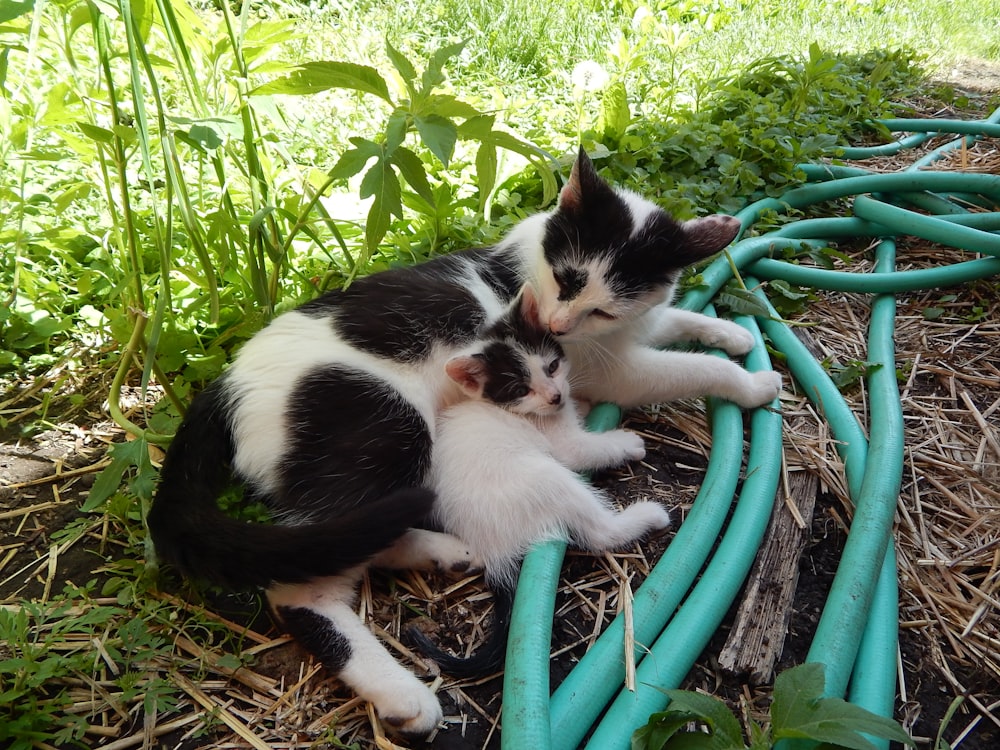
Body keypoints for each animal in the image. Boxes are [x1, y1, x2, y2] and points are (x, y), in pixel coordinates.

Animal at [148, 148, 776, 740]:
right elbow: (684, 370)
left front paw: (731, 333)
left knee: (353, 534)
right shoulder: (610, 373)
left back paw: (443, 551)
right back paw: (404, 696)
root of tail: (225, 386)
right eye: (567, 279)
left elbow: (673, 321)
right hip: (391, 424)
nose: (557, 326)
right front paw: (753, 383)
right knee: (303, 588)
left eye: (602, 306)